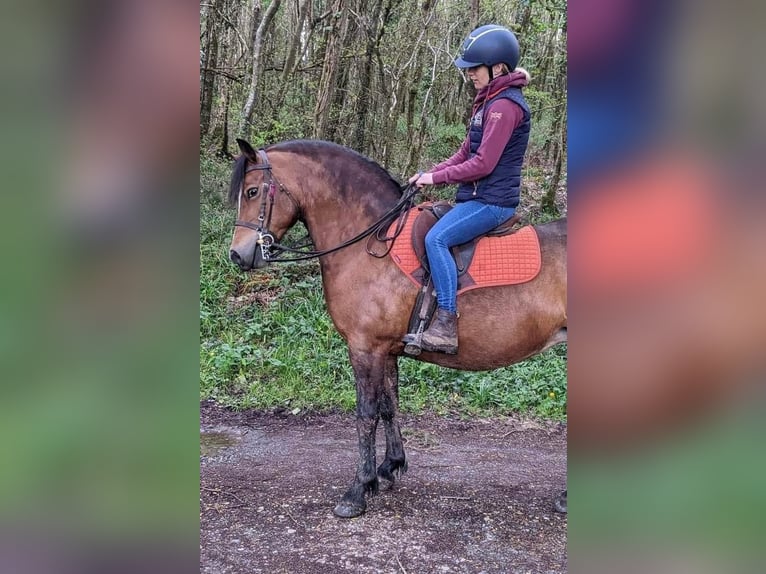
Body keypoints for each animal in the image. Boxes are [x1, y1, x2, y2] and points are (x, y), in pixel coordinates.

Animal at [225, 140, 568, 520]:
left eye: (252, 191)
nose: (237, 255)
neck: (372, 244)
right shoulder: (387, 350)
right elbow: (389, 406)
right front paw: (390, 467)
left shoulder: (365, 347)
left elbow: (366, 414)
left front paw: (358, 490)